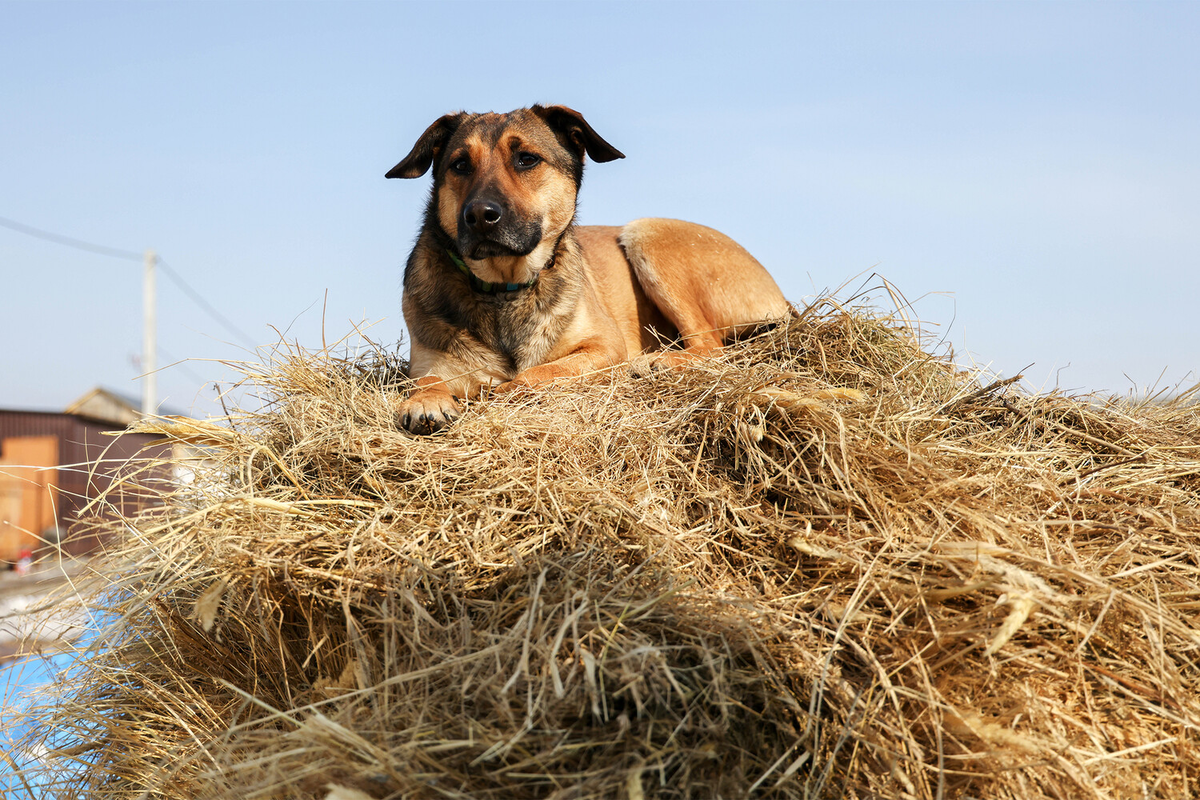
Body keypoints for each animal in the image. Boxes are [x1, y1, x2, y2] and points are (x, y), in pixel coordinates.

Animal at [388, 104, 792, 438]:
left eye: (526, 160)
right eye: (459, 165)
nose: (479, 215)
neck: (506, 288)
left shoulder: (604, 347)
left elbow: (538, 373)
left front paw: (507, 390)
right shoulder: (429, 364)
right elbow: (426, 381)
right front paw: (425, 402)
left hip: (646, 234)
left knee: (711, 344)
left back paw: (658, 361)